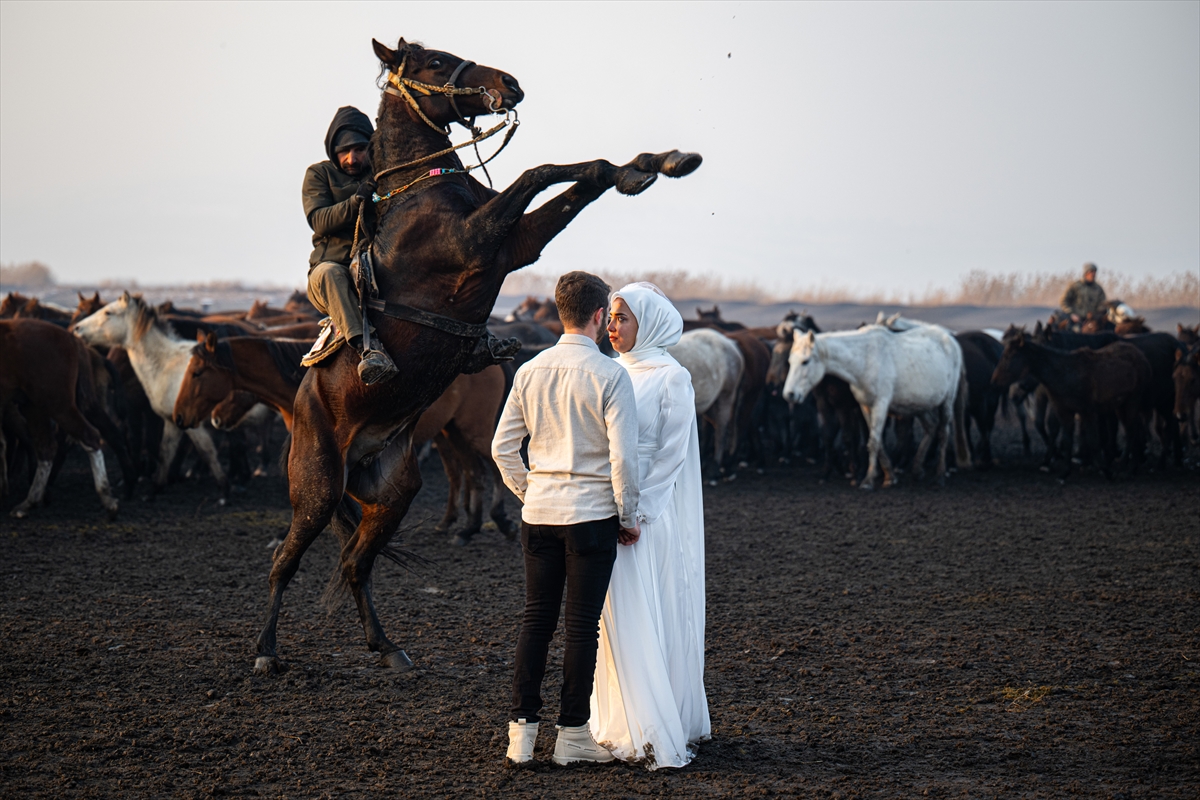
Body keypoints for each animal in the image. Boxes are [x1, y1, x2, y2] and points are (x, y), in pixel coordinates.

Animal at [73, 293, 229, 501]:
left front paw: (224, 492)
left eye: (108, 312)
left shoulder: (193, 426)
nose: (77, 328)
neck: (167, 363)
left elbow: (207, 452)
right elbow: (165, 452)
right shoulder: (172, 421)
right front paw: (155, 489)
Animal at [254, 37, 700, 676]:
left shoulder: (516, 243)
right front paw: (644, 167)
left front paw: (653, 163)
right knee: (286, 561)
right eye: (435, 61)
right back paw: (266, 651)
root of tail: (305, 406)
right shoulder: (479, 241)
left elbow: (578, 175)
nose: (510, 83)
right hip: (315, 487)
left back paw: (387, 647)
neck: (425, 190)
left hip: (392, 492)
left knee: (355, 564)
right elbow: (540, 172)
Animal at [782, 323, 969, 489]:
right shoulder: (865, 406)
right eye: (790, 361)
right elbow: (876, 442)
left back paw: (939, 476)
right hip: (920, 405)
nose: (789, 394)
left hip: (947, 402)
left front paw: (868, 480)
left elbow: (873, 441)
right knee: (931, 427)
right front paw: (890, 477)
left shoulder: (881, 404)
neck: (865, 360)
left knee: (943, 433)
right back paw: (917, 470)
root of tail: (951, 340)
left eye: (805, 361)